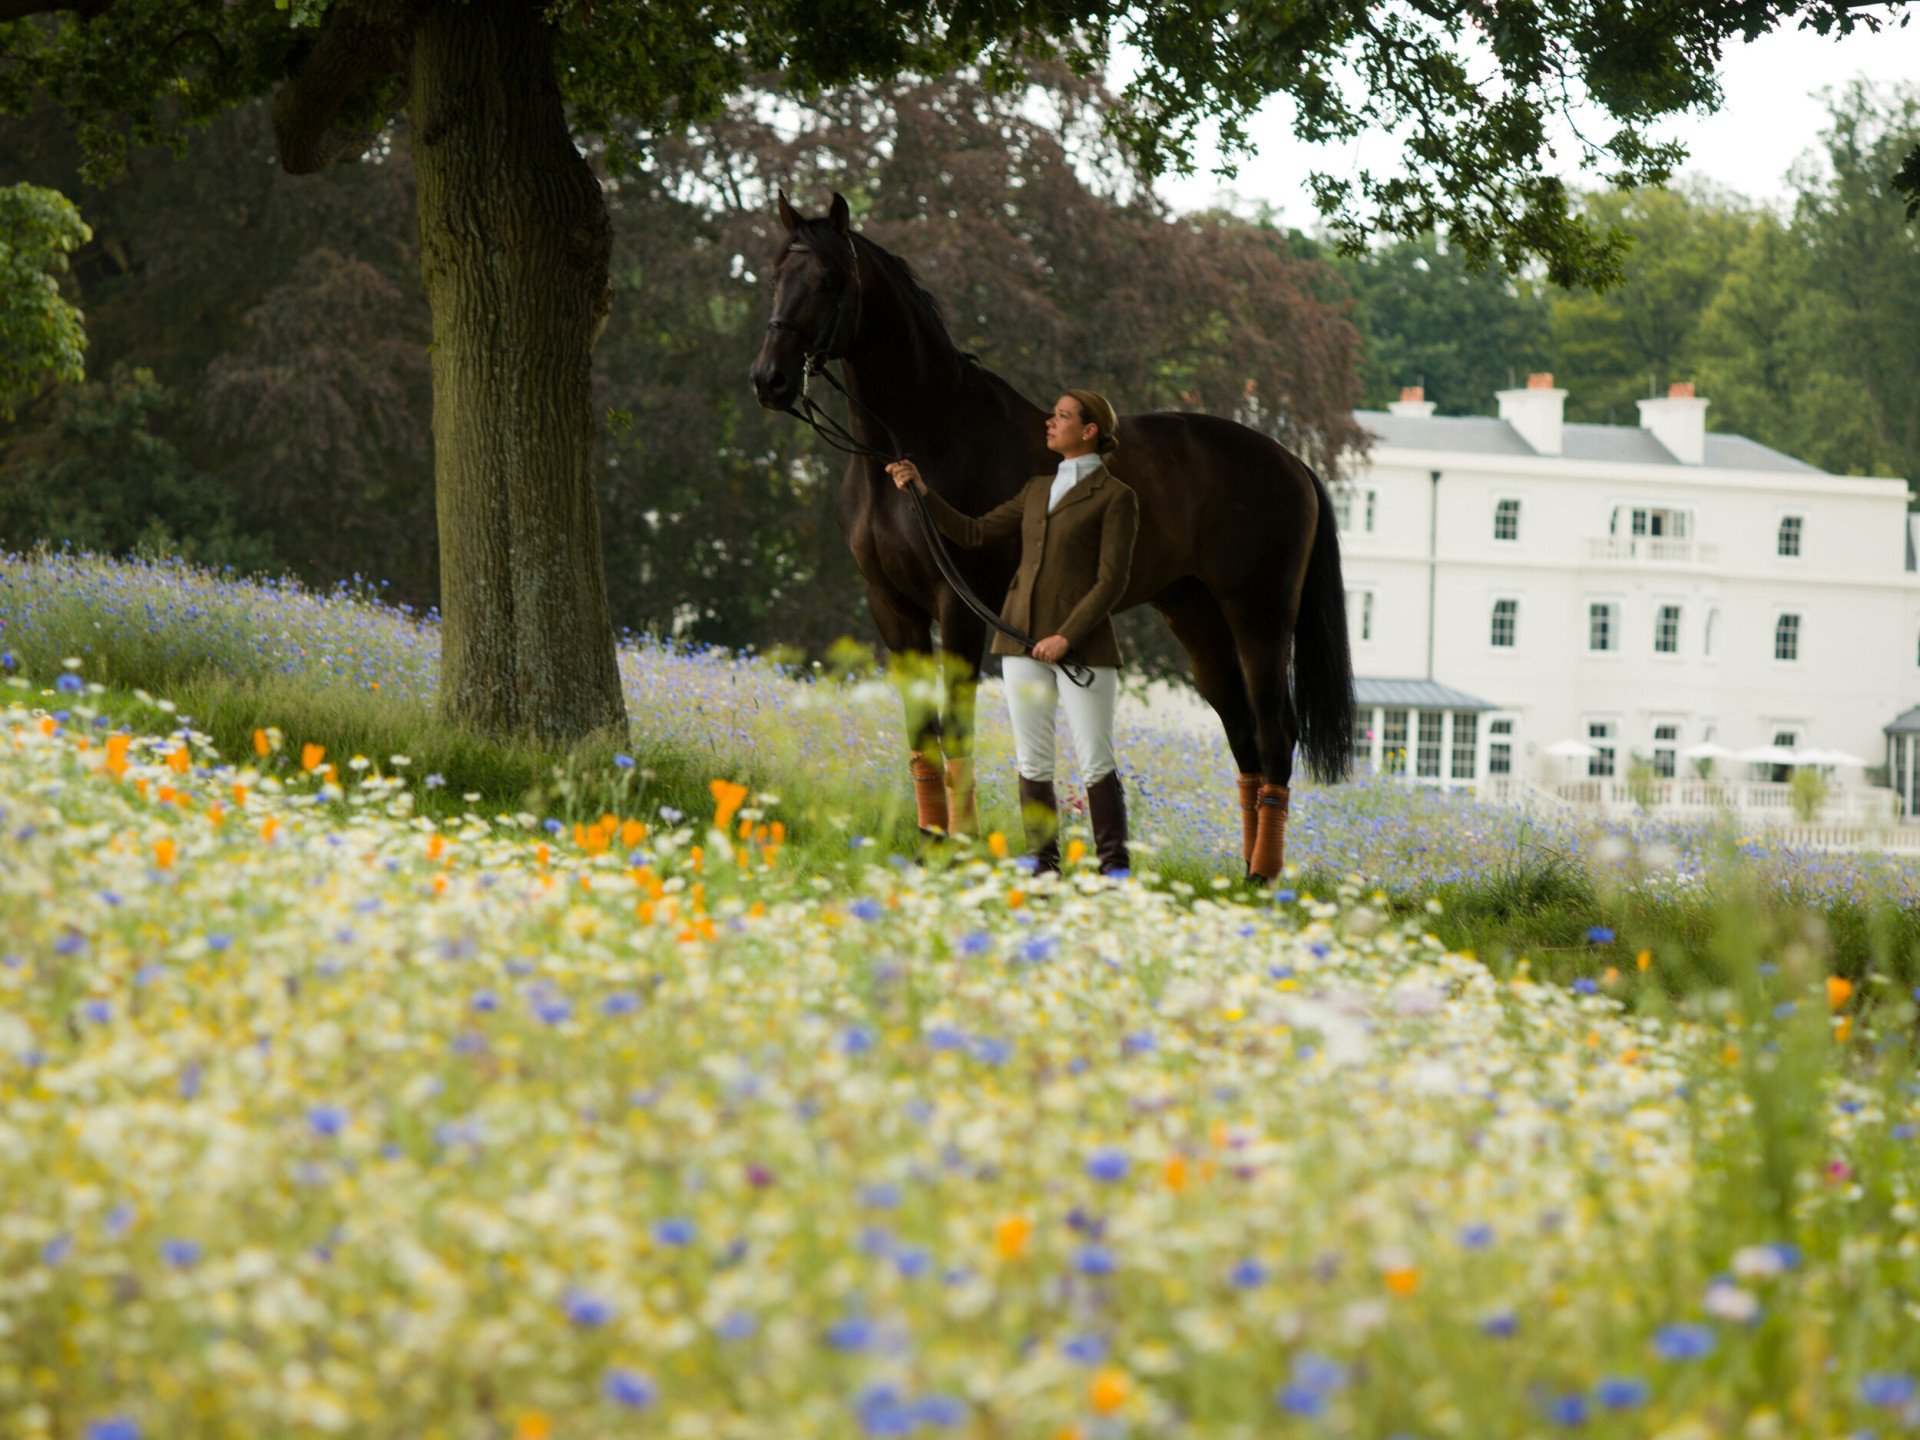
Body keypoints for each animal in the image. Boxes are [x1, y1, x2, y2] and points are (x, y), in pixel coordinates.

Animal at [748, 191, 1353, 878]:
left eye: (828, 280)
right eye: (775, 274)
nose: (769, 380)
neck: (917, 440)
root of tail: (1291, 462)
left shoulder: (959, 605)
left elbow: (956, 725)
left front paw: (961, 848)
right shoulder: (891, 605)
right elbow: (921, 732)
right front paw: (930, 845)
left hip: (1260, 616)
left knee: (1276, 735)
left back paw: (1262, 876)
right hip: (1195, 616)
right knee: (1243, 734)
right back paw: (1246, 880)